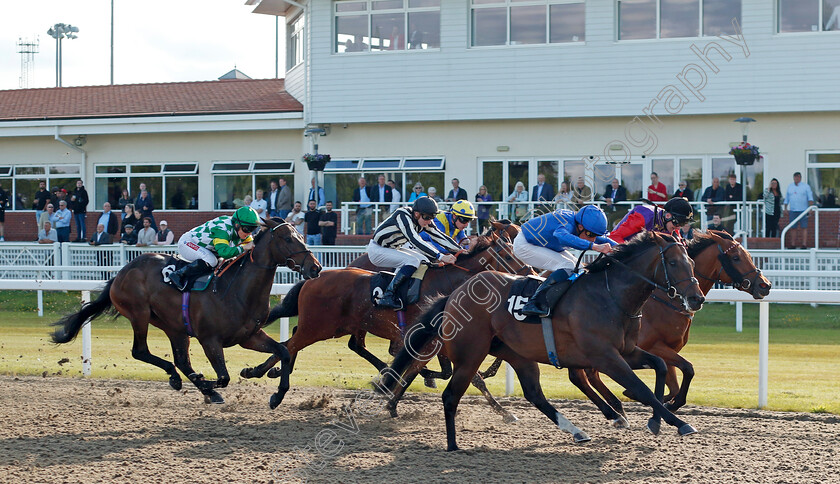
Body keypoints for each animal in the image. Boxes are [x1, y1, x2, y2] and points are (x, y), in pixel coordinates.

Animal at [51, 219, 322, 404]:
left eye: (301, 235)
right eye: (288, 239)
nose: (316, 267)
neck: (236, 290)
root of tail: (121, 272)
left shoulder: (249, 336)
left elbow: (283, 351)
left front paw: (276, 394)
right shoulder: (210, 340)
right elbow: (224, 377)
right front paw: (208, 382)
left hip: (174, 326)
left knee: (180, 359)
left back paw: (192, 383)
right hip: (139, 314)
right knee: (141, 351)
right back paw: (183, 380)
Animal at [253, 220, 536, 412]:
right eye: (508, 254)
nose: (532, 274)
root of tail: (316, 275)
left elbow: (447, 371)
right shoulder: (429, 338)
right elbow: (463, 375)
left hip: (336, 326)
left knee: (300, 341)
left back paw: (263, 371)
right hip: (319, 327)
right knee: (290, 343)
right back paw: (267, 381)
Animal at [384, 232, 704, 450]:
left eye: (691, 261)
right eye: (672, 262)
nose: (697, 299)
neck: (610, 295)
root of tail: (455, 294)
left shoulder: (626, 351)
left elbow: (660, 366)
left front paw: (656, 419)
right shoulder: (605, 357)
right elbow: (641, 388)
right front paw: (679, 423)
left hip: (516, 354)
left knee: (534, 394)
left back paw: (577, 431)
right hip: (471, 354)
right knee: (450, 394)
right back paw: (452, 445)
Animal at [572, 229, 776, 426]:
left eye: (748, 255)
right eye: (736, 257)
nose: (765, 285)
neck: (668, 301)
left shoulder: (667, 349)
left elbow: (675, 383)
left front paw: (665, 403)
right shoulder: (649, 347)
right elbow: (687, 368)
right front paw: (653, 400)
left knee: (584, 376)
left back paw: (616, 410)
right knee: (585, 375)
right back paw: (616, 411)